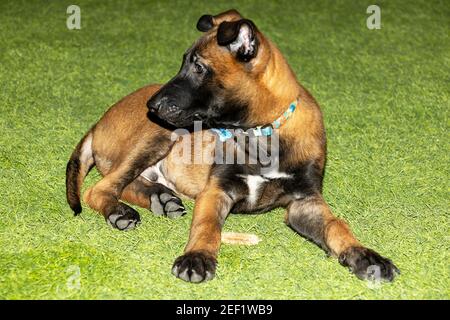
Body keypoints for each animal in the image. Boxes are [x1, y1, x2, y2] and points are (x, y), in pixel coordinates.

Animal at [65, 9, 400, 282]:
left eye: (199, 67)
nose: (152, 106)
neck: (261, 133)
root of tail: (98, 122)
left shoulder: (304, 201)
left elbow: (336, 225)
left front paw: (365, 255)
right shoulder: (217, 190)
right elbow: (207, 226)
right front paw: (197, 257)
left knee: (127, 184)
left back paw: (161, 198)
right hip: (159, 135)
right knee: (100, 188)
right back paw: (120, 211)